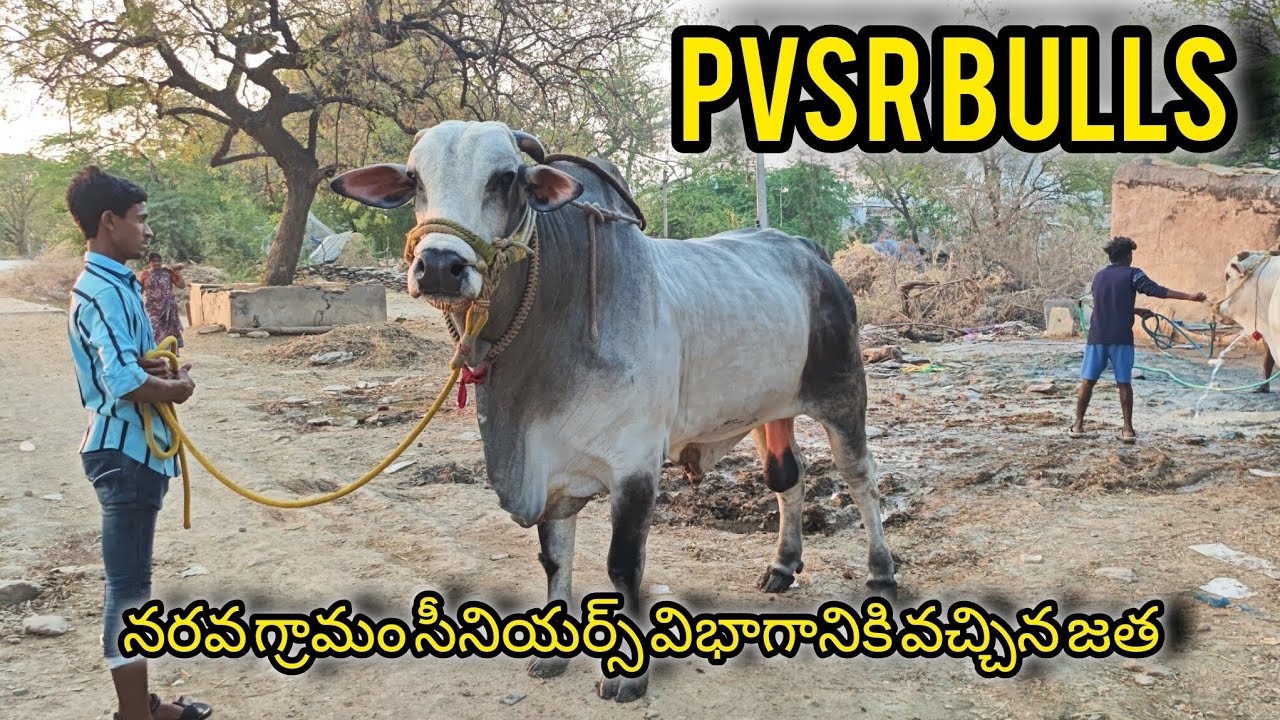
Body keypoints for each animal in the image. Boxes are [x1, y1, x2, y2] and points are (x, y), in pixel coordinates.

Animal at [329, 120, 896, 702]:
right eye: (415, 179)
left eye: (506, 178)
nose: (440, 266)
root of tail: (809, 251)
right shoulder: (551, 471)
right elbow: (556, 558)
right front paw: (551, 657)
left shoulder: (635, 467)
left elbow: (623, 568)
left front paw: (628, 675)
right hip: (768, 410)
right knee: (788, 477)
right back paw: (783, 565)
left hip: (844, 394)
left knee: (861, 478)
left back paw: (880, 574)